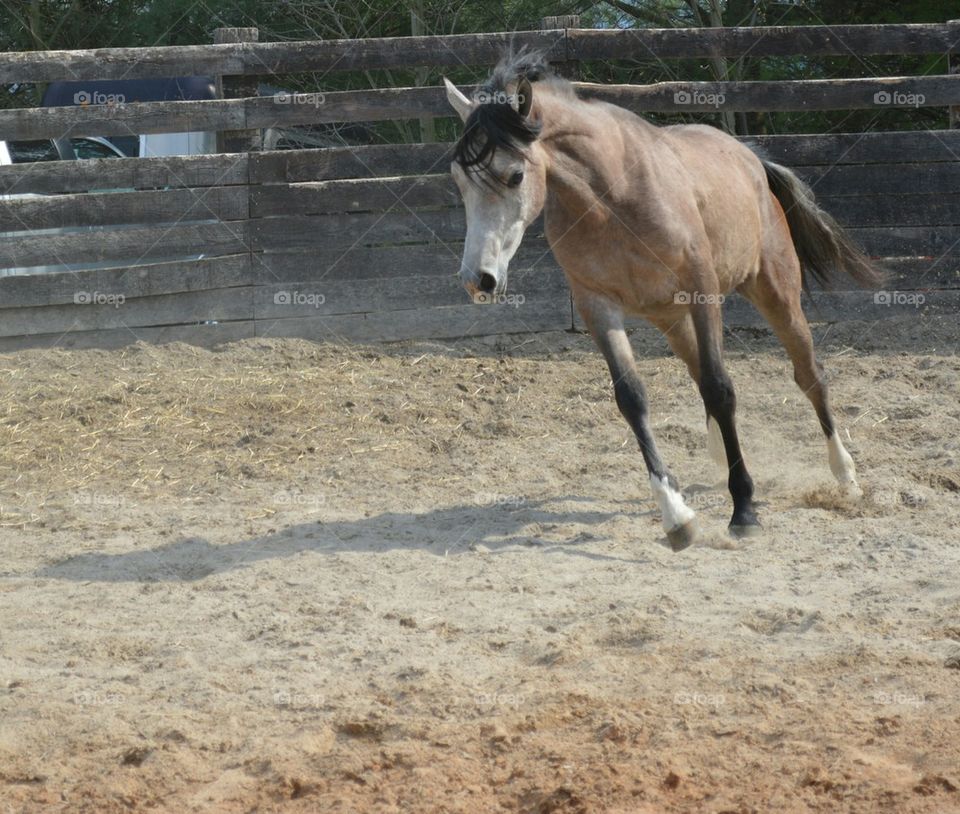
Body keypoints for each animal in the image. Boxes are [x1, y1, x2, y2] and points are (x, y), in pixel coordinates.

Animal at [443, 53, 884, 551]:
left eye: (515, 175)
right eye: (458, 180)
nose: (478, 280)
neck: (612, 198)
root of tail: (752, 160)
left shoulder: (703, 290)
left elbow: (721, 388)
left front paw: (744, 510)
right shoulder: (597, 306)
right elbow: (632, 399)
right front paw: (676, 517)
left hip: (775, 293)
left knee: (808, 375)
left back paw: (845, 476)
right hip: (671, 319)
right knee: (700, 374)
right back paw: (722, 458)